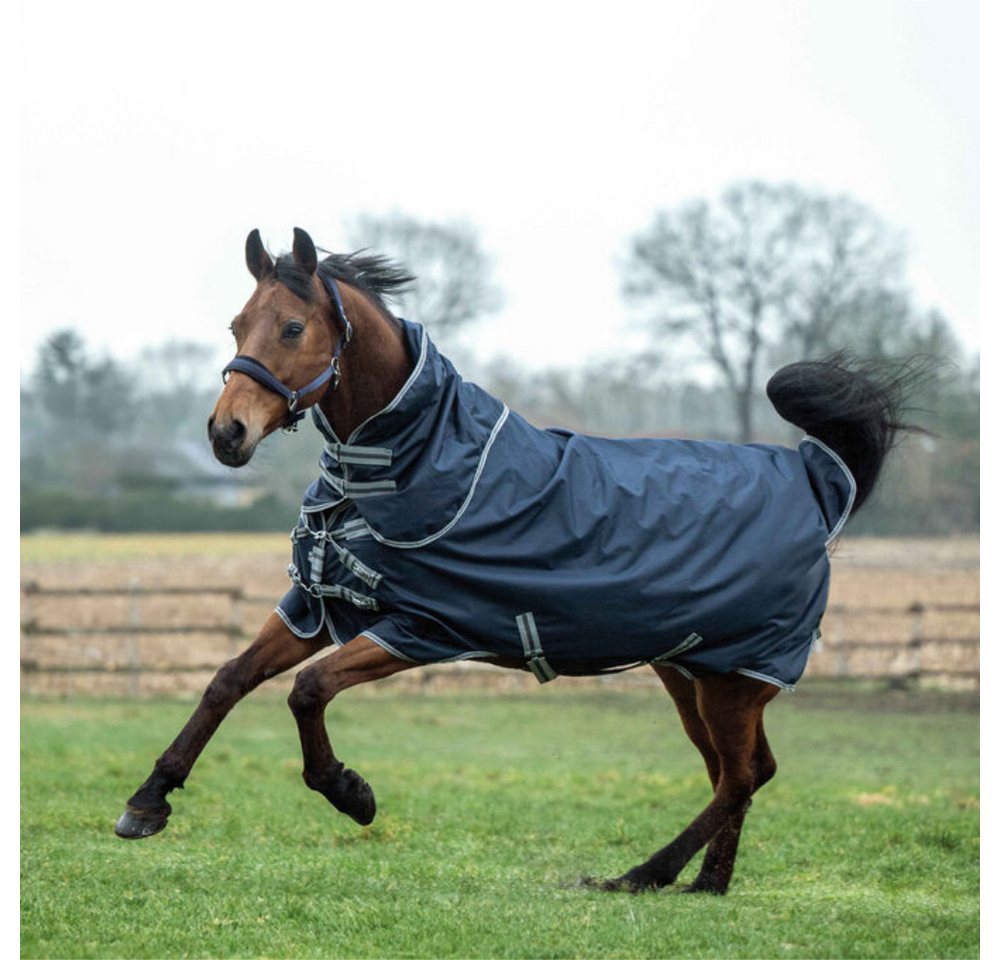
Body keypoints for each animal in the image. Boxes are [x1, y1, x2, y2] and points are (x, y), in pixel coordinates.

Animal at [115, 227, 917, 895]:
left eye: (290, 326)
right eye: (236, 325)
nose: (226, 433)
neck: (410, 463)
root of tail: (816, 484)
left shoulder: (421, 628)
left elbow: (307, 692)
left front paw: (351, 792)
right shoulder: (322, 603)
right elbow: (228, 680)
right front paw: (147, 803)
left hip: (734, 680)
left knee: (741, 775)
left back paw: (641, 875)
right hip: (694, 673)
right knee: (744, 771)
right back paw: (704, 884)